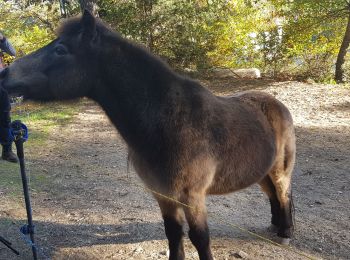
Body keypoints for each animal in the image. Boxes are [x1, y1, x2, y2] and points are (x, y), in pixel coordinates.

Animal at [0, 10, 296, 260]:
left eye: (61, 50)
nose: (4, 75)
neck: (170, 123)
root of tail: (277, 104)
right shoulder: (163, 195)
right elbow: (173, 235)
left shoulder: (192, 197)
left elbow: (200, 239)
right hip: (261, 172)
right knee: (273, 196)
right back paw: (275, 226)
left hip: (280, 170)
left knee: (284, 194)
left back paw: (285, 233)